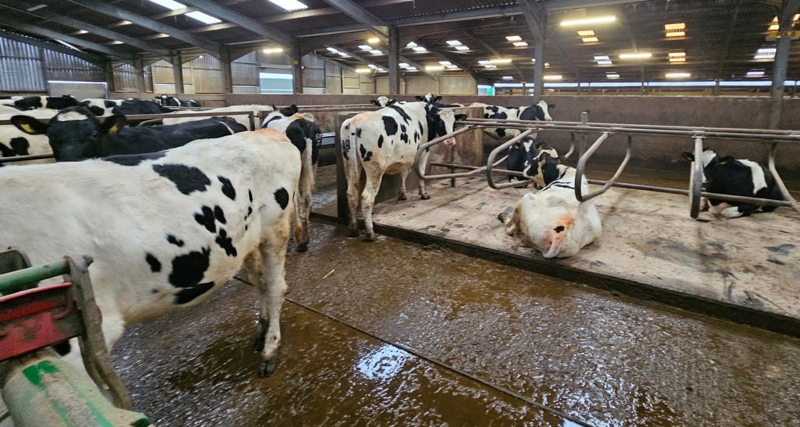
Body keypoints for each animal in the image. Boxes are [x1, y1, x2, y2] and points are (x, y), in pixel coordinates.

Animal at [0, 130, 300, 378]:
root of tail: (266, 132)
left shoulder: (72, 343)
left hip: (275, 227)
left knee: (276, 286)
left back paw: (270, 350)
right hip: (247, 240)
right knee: (261, 281)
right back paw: (262, 331)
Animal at [264, 104, 324, 252]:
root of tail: (302, 123)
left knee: (296, 199)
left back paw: (299, 238)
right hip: (311, 162)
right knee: (307, 198)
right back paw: (305, 238)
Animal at [340, 100, 466, 241]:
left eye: (454, 123)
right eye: (440, 122)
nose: (451, 141)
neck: (424, 113)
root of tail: (356, 121)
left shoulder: (406, 155)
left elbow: (403, 173)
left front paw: (402, 194)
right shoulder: (424, 150)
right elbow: (421, 171)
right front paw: (424, 194)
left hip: (350, 163)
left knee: (351, 194)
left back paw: (353, 229)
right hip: (375, 167)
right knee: (367, 197)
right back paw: (370, 233)